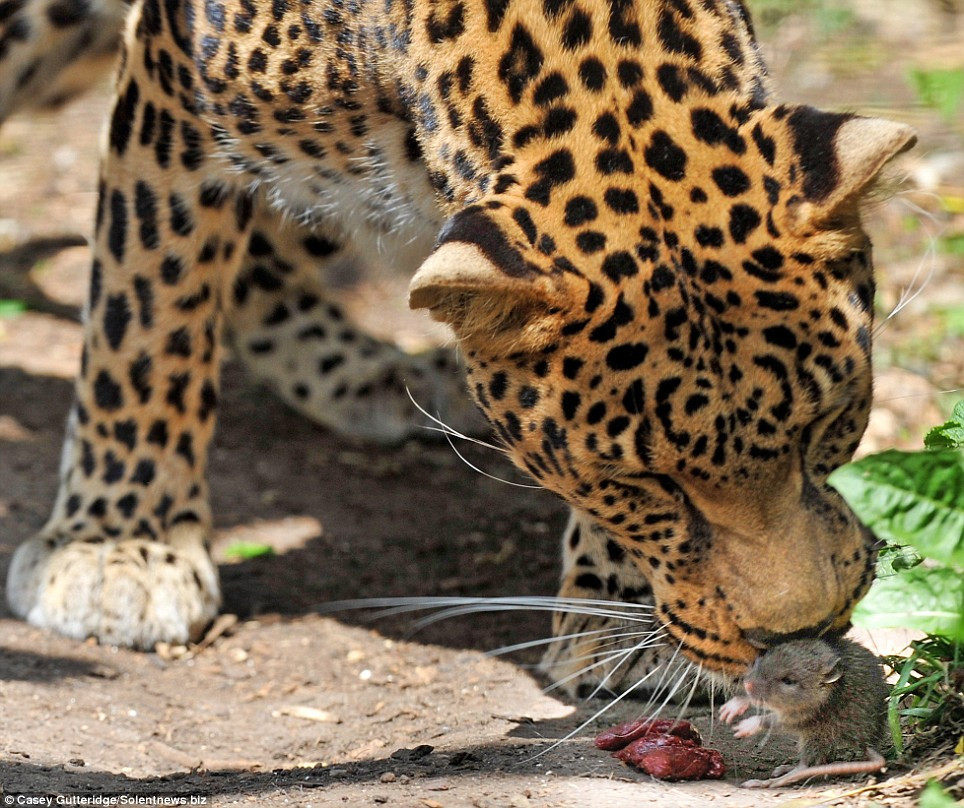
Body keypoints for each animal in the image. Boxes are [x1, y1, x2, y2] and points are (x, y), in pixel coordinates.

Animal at [2, 0, 915, 698]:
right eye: (644, 482)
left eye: (826, 426)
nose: (799, 634)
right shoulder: (175, 79)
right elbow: (150, 299)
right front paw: (118, 546)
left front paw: (624, 615)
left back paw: (359, 367)